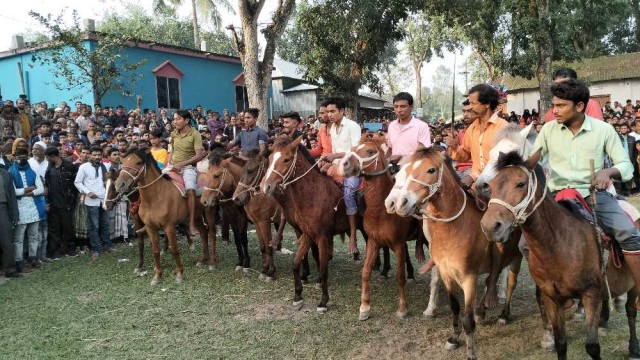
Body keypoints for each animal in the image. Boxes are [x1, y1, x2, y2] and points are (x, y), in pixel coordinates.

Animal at [115, 148, 212, 284]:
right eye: (122, 162)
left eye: (138, 162)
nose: (119, 184)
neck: (155, 198)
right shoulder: (150, 228)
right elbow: (155, 251)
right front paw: (157, 276)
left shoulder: (169, 227)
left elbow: (174, 250)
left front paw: (180, 274)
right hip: (197, 217)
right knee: (203, 232)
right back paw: (203, 259)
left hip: (208, 212)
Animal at [338, 136, 428, 320]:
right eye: (354, 148)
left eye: (370, 151)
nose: (344, 164)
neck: (381, 210)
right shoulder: (373, 241)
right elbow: (366, 271)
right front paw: (364, 307)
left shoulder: (399, 244)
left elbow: (399, 276)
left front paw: (403, 309)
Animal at [388, 146, 524, 360]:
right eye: (404, 170)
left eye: (431, 170)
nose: (401, 203)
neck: (454, 228)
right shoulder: (446, 274)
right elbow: (454, 308)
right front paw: (453, 338)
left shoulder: (469, 279)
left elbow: (467, 318)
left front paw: (471, 352)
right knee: (491, 281)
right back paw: (482, 311)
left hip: (517, 258)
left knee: (511, 283)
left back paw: (503, 315)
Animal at [480, 151, 640, 360]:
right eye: (491, 186)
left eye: (520, 184)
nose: (490, 226)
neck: (559, 244)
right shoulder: (552, 299)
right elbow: (561, 343)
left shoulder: (590, 294)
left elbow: (592, 346)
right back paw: (604, 322)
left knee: (631, 310)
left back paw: (634, 348)